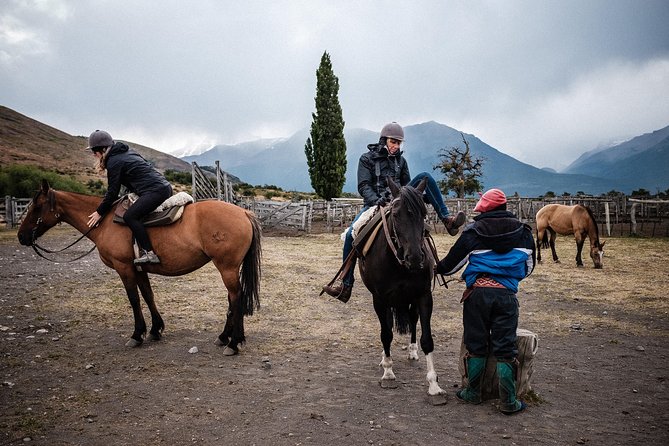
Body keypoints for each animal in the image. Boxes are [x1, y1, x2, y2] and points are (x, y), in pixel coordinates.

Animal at [15, 179, 260, 354]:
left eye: (37, 207)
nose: (21, 236)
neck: (105, 222)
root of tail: (244, 212)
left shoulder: (124, 267)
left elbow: (133, 299)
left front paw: (136, 334)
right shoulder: (139, 269)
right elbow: (148, 295)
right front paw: (155, 330)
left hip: (226, 267)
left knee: (236, 297)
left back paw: (234, 343)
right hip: (228, 267)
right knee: (231, 298)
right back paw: (224, 337)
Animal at [358, 178, 446, 400]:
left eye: (424, 214)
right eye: (396, 215)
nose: (414, 257)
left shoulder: (423, 296)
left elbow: (427, 339)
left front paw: (434, 384)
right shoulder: (380, 299)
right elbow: (386, 334)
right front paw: (388, 372)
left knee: (413, 320)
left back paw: (412, 351)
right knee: (387, 326)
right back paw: (384, 358)